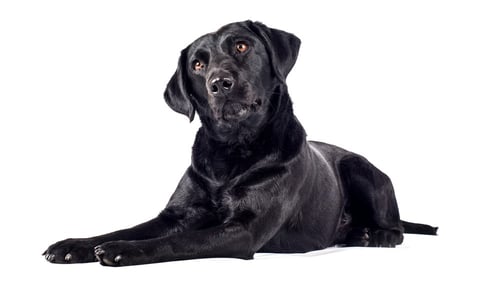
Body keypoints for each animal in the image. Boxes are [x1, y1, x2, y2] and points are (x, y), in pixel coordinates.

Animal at [44, 20, 438, 264]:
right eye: (198, 65)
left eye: (242, 46)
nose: (220, 82)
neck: (232, 152)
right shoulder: (176, 214)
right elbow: (129, 227)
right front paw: (75, 245)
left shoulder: (245, 229)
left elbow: (178, 241)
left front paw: (123, 249)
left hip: (361, 171)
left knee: (398, 229)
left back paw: (372, 235)